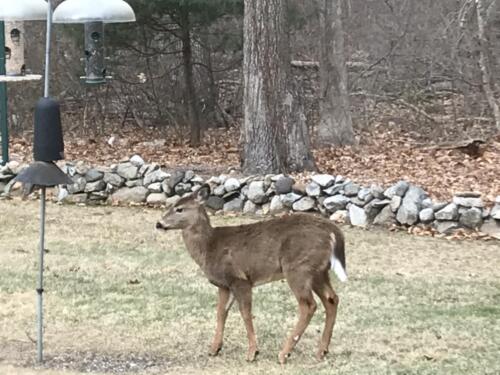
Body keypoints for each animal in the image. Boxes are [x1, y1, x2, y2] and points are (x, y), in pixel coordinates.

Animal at [156, 185, 348, 364]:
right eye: (171, 205)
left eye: (179, 209)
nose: (159, 223)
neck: (209, 246)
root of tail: (333, 232)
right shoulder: (224, 285)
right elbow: (220, 312)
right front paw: (214, 349)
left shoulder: (239, 279)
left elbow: (245, 313)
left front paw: (252, 353)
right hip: (318, 271)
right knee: (332, 299)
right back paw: (322, 351)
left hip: (298, 268)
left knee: (308, 305)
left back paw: (284, 353)